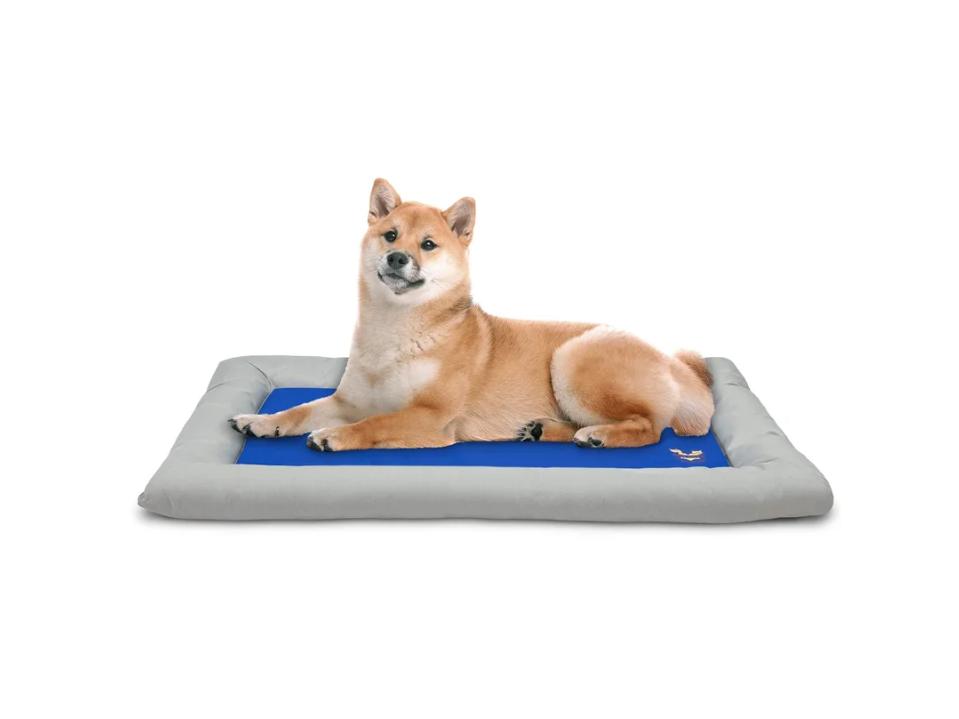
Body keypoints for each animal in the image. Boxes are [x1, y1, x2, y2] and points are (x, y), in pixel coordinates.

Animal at [231, 179, 712, 450]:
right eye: (390, 235)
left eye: (428, 244)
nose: (397, 258)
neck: (394, 333)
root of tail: (666, 358)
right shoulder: (347, 401)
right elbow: (301, 410)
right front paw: (263, 421)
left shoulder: (431, 414)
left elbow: (377, 422)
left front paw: (337, 436)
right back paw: (544, 431)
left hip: (573, 359)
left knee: (651, 426)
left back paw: (602, 436)